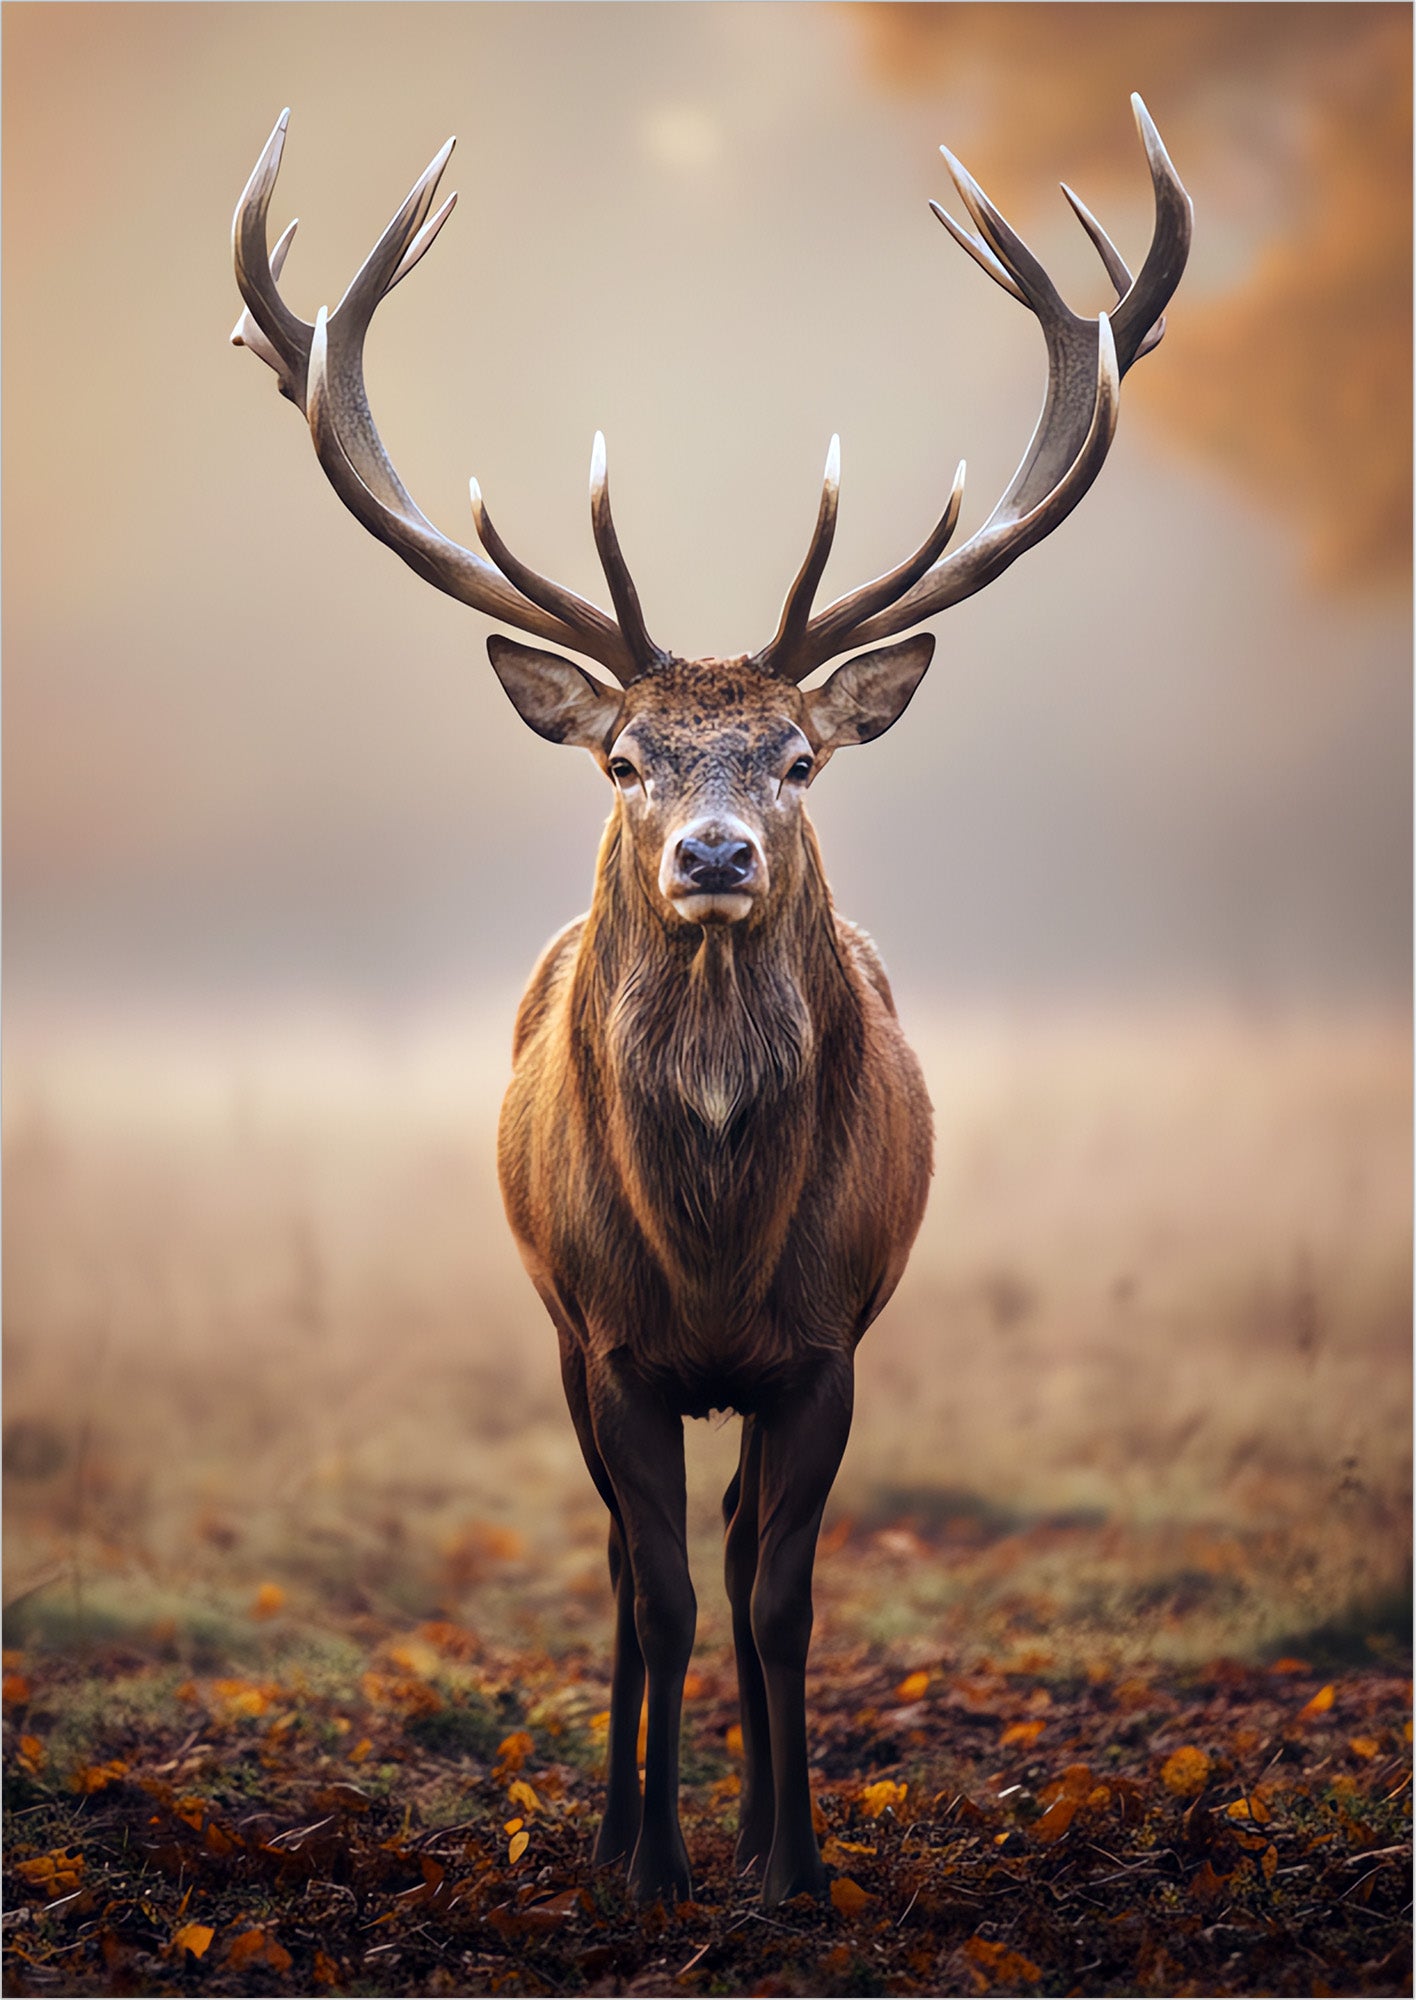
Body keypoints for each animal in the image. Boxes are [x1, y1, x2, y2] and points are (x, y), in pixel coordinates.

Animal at [231, 98, 1190, 1906]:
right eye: (625, 758)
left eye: (800, 757)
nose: (718, 851)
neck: (718, 1246)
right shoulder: (609, 1339)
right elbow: (658, 1593)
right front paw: (651, 1861)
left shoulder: (825, 1342)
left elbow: (779, 1599)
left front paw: (791, 1862)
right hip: (556, 1328)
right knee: (629, 1572)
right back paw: (631, 1826)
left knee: (742, 1560)